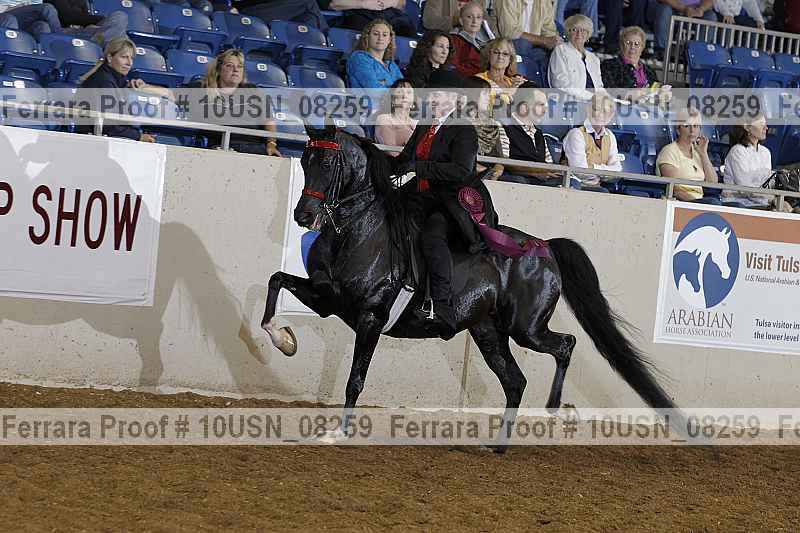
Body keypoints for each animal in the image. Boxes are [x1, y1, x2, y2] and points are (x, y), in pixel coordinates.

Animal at [260, 124, 680, 450]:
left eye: (326, 163)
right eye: (304, 161)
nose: (304, 215)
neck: (359, 231)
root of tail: (544, 247)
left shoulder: (370, 316)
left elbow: (355, 380)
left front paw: (339, 433)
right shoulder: (328, 299)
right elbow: (275, 281)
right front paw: (284, 340)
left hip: (526, 329)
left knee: (565, 345)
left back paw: (555, 410)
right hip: (488, 332)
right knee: (515, 381)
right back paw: (499, 445)